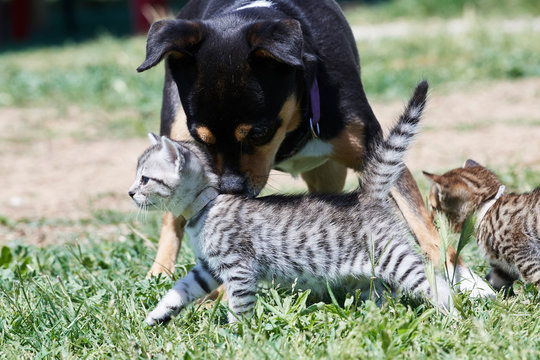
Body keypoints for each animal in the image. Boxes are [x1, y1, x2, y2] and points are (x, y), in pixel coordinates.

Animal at [129, 82, 450, 326]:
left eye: (144, 179)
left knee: (432, 279)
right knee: (385, 292)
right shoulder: (207, 268)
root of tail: (365, 195)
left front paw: (235, 335)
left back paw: (451, 312)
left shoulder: (238, 268)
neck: (206, 205)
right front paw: (157, 315)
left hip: (393, 256)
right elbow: (178, 290)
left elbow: (239, 306)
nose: (131, 193)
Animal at [136, 0, 494, 296]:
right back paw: (160, 273)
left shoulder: (376, 149)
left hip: (329, 175)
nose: (230, 190)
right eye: (200, 138)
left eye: (260, 133)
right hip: (173, 126)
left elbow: (422, 223)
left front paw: (465, 279)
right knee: (171, 221)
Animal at [426, 160, 540, 290]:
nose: (430, 220)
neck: (487, 208)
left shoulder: (527, 257)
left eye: (433, 207)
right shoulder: (501, 268)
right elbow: (490, 283)